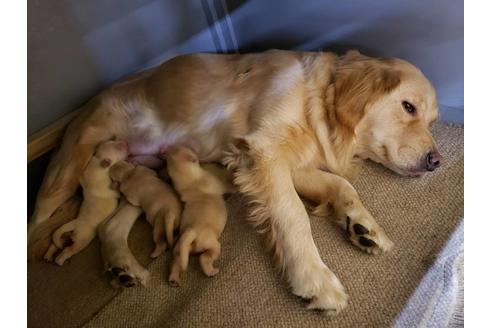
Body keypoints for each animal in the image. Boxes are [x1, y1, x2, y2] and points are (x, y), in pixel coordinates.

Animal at [166, 147, 234, 288]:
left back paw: (174, 279)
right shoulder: (218, 183)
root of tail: (192, 231)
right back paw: (211, 271)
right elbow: (229, 186)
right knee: (204, 258)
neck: (189, 182)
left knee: (176, 261)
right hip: (213, 244)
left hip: (179, 249)